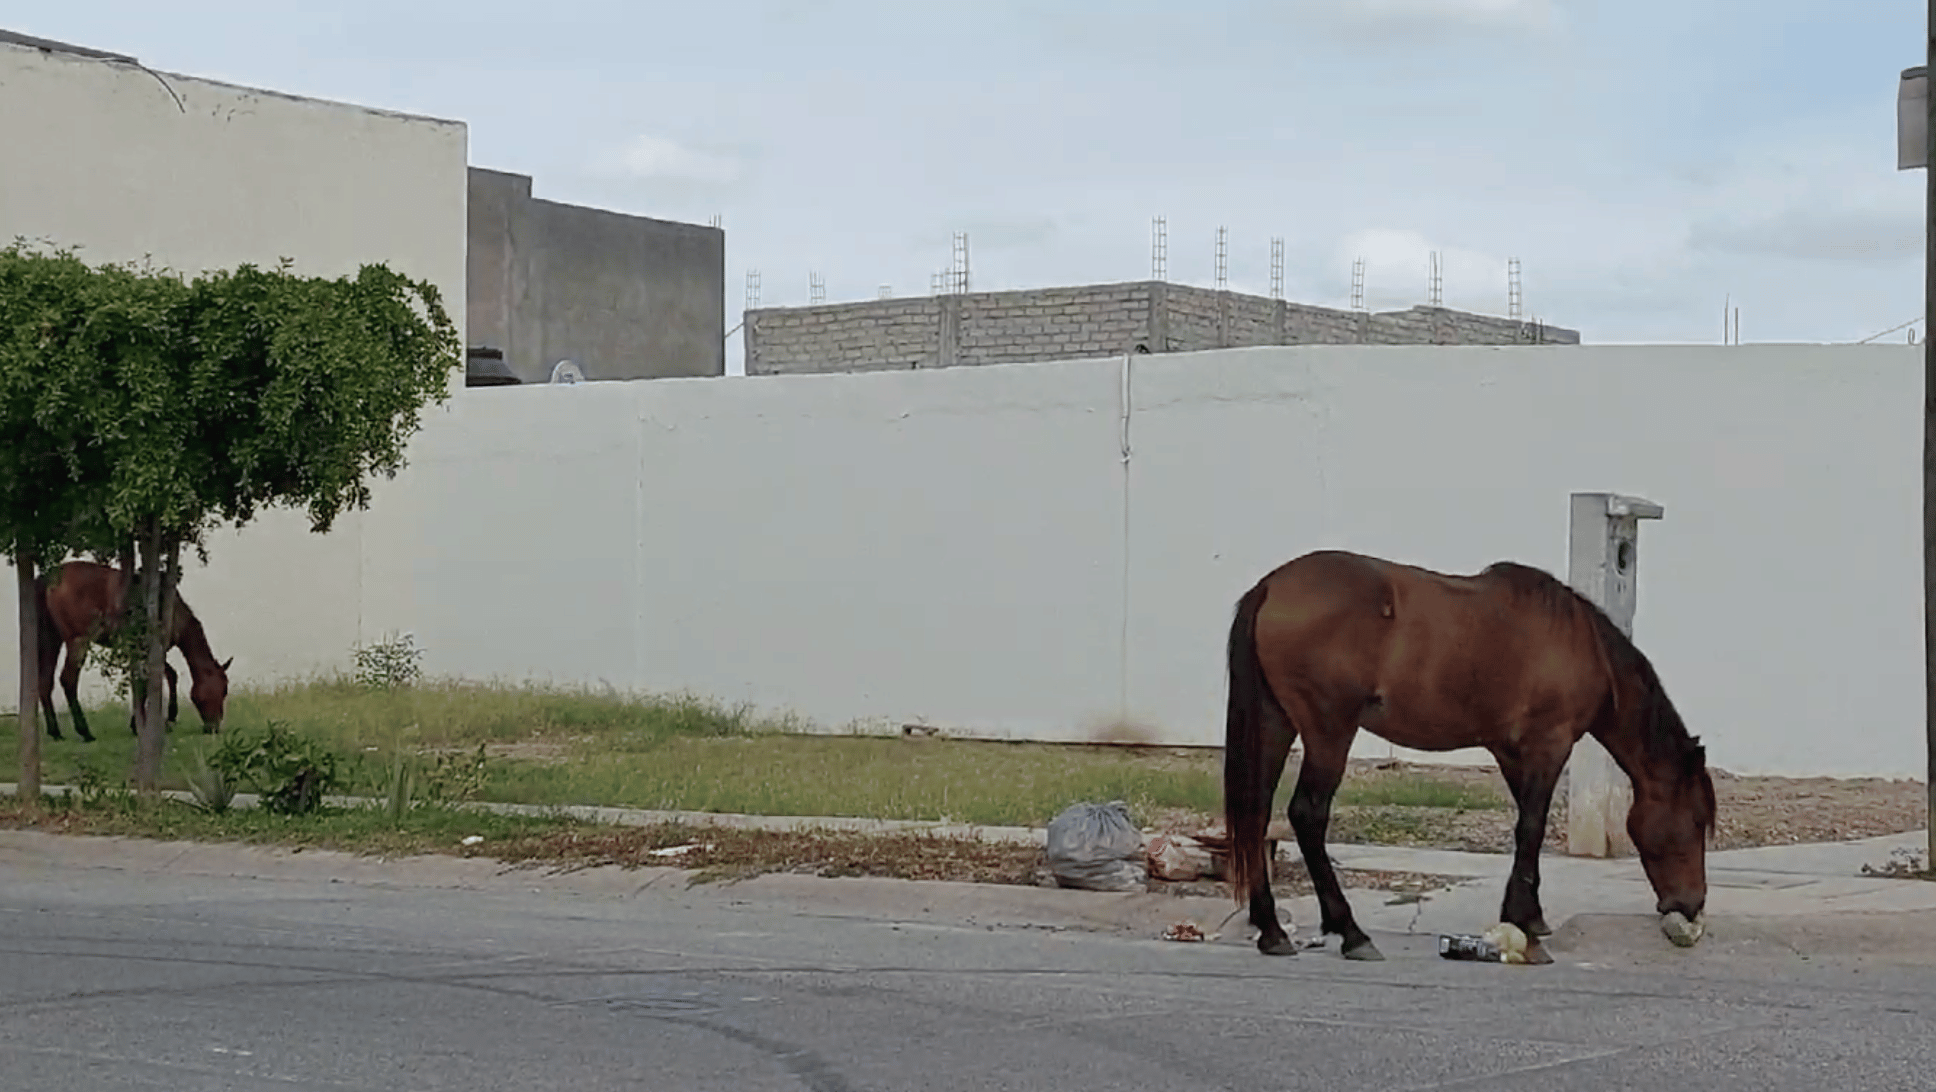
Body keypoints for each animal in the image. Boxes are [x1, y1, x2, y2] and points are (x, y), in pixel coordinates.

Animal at [33, 560, 232, 743]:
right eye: (221, 691)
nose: (213, 728)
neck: (171, 608)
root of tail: (50, 576)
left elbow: (167, 676)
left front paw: (165, 720)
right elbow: (146, 683)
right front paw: (140, 724)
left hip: (52, 640)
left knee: (45, 682)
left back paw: (55, 732)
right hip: (78, 641)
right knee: (68, 680)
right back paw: (85, 732)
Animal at [1222, 549, 1716, 964]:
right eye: (1695, 822)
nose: (1692, 905)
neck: (1580, 644)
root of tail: (1272, 586)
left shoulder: (1511, 752)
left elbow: (1527, 827)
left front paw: (1531, 915)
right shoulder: (1548, 744)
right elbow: (1531, 828)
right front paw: (1521, 924)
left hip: (1276, 723)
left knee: (1257, 814)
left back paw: (1272, 930)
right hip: (1329, 732)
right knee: (1307, 814)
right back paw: (1351, 933)